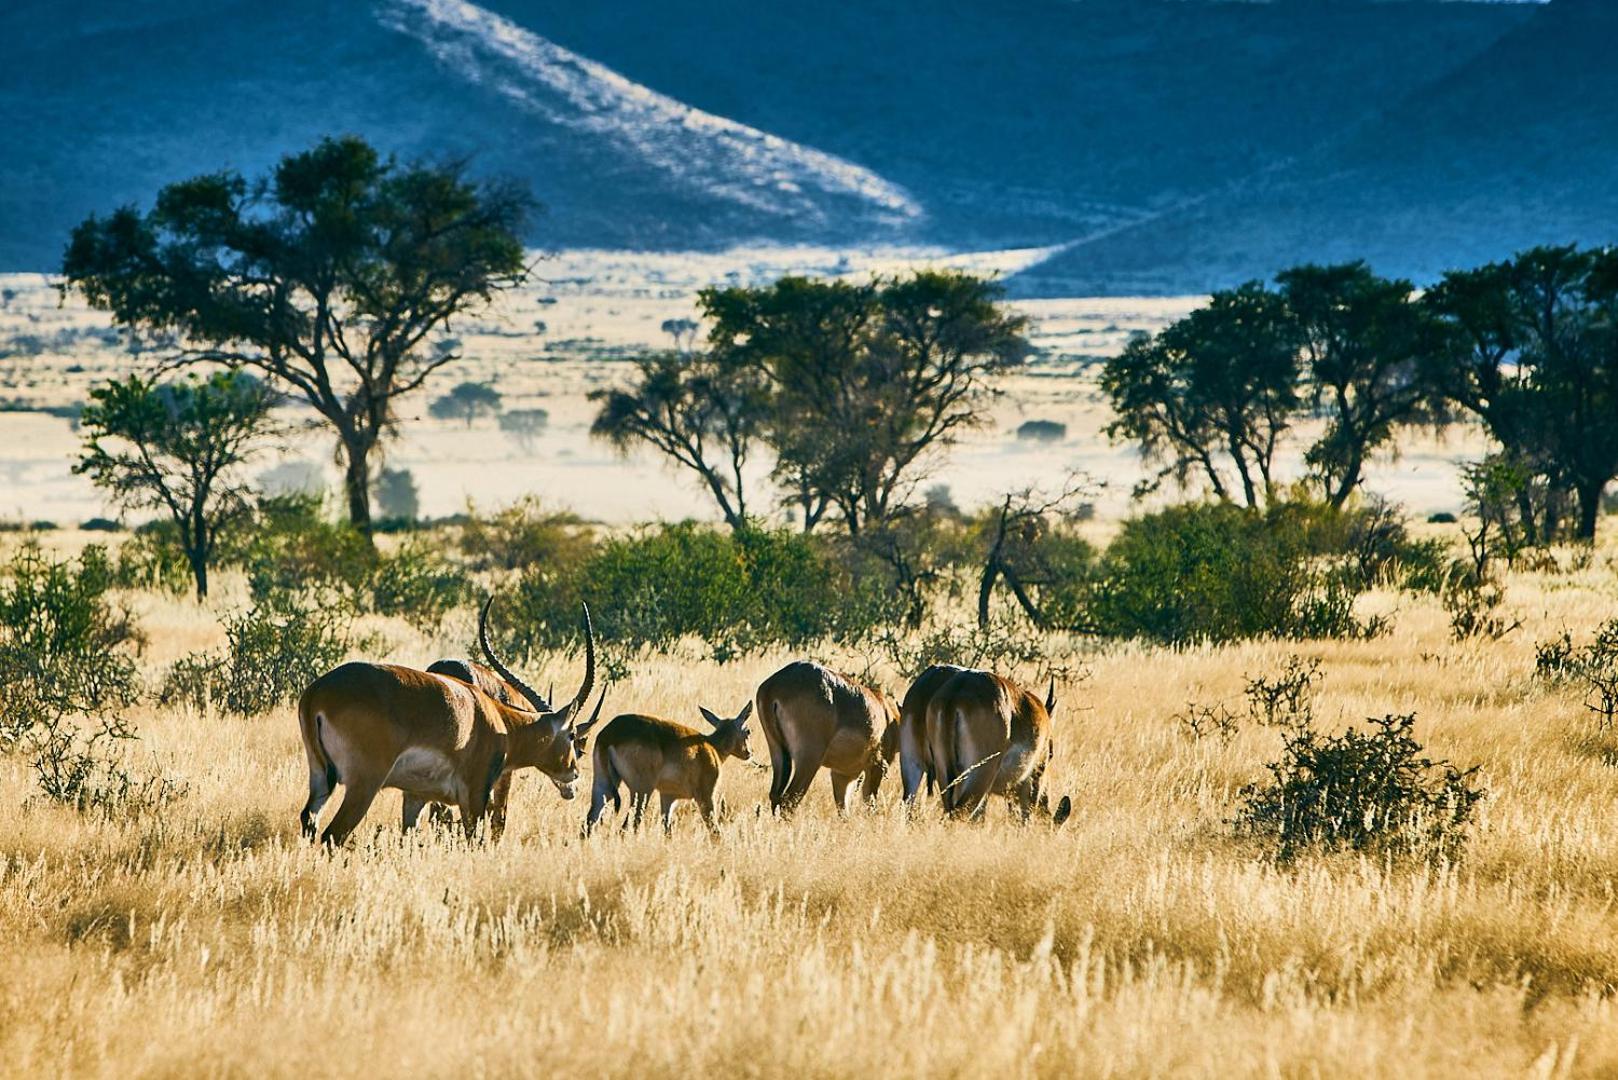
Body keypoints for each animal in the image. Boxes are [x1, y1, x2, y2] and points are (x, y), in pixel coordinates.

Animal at [296, 599, 601, 841]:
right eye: (572, 736)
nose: (574, 774)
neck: (498, 721)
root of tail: (317, 693)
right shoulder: (476, 795)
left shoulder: (416, 796)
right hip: (364, 785)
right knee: (333, 834)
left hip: (321, 778)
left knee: (309, 821)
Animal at [585, 702, 753, 835]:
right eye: (748, 731)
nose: (749, 753)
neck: (712, 747)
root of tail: (609, 735)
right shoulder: (706, 795)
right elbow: (714, 830)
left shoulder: (668, 796)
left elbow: (667, 831)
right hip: (641, 791)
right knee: (628, 825)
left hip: (603, 785)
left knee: (590, 821)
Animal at [757, 660, 899, 819]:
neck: (886, 712)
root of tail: (772, 687)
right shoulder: (876, 766)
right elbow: (869, 804)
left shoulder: (842, 775)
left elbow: (843, 810)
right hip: (809, 761)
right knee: (789, 800)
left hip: (778, 752)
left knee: (775, 796)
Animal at [925, 667, 1074, 829]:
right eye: (1051, 754)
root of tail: (956, 691)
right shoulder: (1034, 779)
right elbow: (1026, 817)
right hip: (981, 774)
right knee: (960, 813)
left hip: (946, 773)